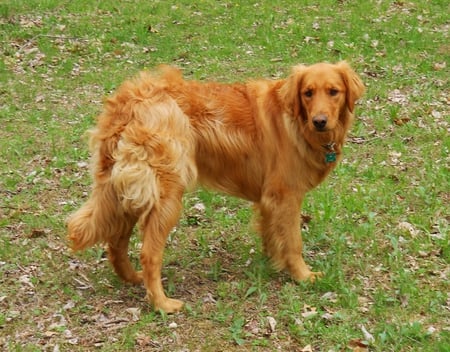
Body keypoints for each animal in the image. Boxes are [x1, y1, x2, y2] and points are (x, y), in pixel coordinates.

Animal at [69, 62, 366, 312]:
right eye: (307, 93)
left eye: (333, 92)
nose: (319, 121)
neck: (295, 120)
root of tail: (129, 101)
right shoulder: (286, 196)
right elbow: (294, 242)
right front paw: (303, 275)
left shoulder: (269, 199)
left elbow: (272, 235)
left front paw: (274, 263)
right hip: (165, 196)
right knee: (148, 253)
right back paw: (161, 303)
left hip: (129, 192)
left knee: (116, 241)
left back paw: (132, 278)